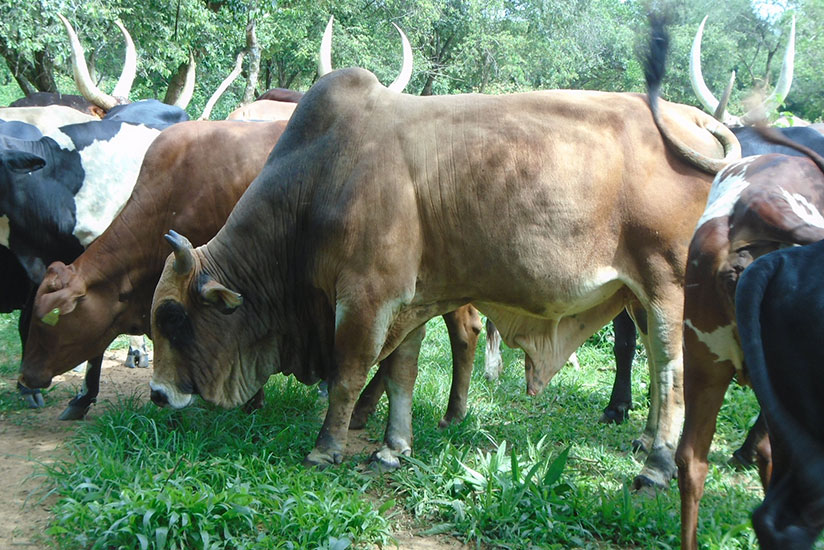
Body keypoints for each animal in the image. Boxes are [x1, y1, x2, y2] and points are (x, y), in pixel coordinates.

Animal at [146, 18, 739, 488]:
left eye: (173, 317)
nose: (157, 394)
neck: (323, 174)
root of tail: (693, 119)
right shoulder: (409, 301)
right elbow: (401, 374)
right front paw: (393, 449)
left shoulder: (367, 297)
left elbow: (348, 373)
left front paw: (325, 449)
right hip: (637, 294)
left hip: (667, 287)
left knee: (670, 371)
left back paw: (656, 467)